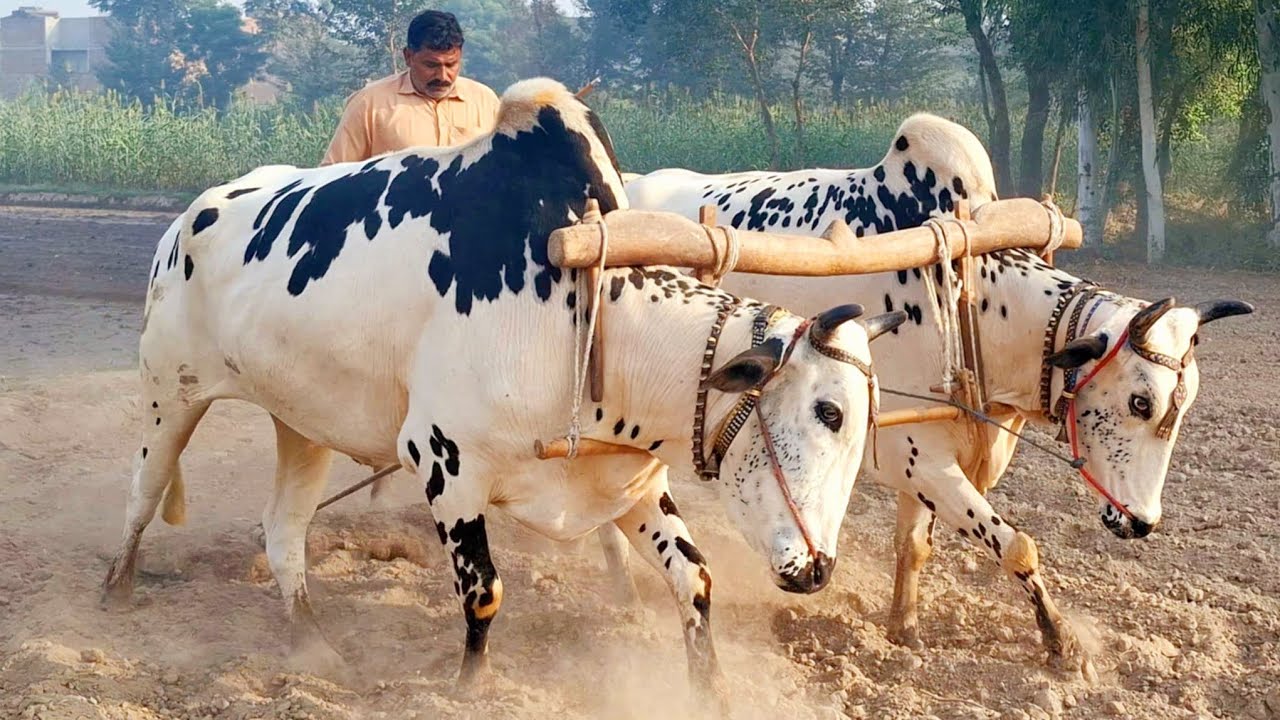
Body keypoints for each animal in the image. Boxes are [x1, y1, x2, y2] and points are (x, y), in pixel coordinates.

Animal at [97, 77, 907, 710]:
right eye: (828, 411)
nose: (817, 570)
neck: (588, 312)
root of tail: (184, 220)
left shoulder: (632, 482)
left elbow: (695, 579)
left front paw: (709, 691)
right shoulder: (443, 463)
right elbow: (484, 591)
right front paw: (469, 687)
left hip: (300, 422)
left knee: (283, 530)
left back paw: (312, 646)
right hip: (169, 396)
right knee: (140, 496)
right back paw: (114, 597)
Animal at [618, 112, 1254, 676]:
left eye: (1185, 403)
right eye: (1141, 402)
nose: (1142, 522)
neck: (971, 296)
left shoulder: (922, 464)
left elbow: (914, 547)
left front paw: (904, 627)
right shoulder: (921, 459)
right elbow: (1018, 546)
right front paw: (1064, 645)